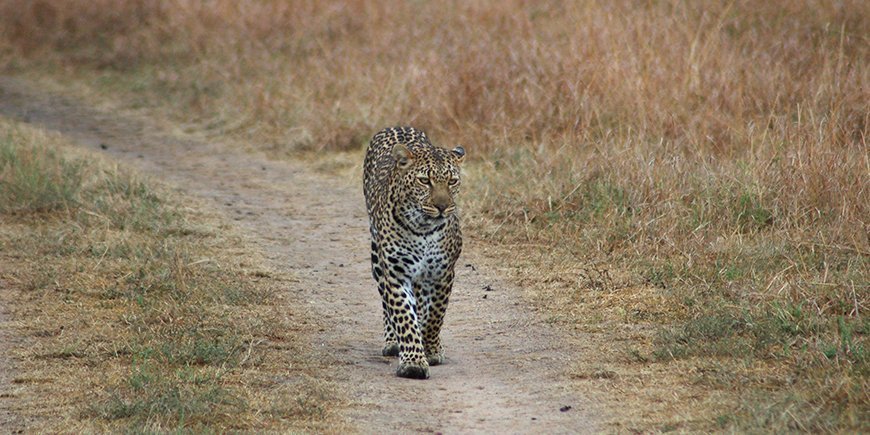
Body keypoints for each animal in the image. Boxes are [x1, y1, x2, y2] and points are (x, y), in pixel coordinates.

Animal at [364, 127, 466, 382]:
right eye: (424, 181)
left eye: (452, 181)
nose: (442, 207)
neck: (423, 229)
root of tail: (397, 126)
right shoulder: (396, 273)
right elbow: (403, 316)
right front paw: (413, 362)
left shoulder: (443, 273)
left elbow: (435, 315)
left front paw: (430, 349)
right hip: (377, 259)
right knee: (387, 305)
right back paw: (393, 341)